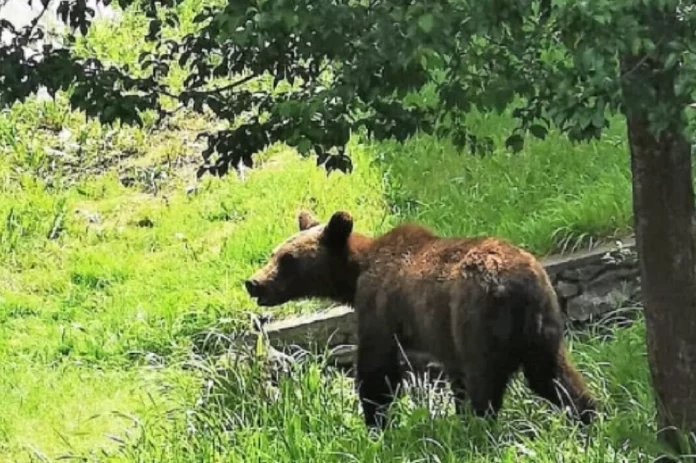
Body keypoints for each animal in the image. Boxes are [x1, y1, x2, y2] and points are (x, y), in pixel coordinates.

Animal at [243, 212, 592, 430]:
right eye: (274, 253)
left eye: (288, 260)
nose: (253, 283)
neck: (354, 276)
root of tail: (516, 286)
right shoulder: (443, 333)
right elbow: (454, 378)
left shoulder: (378, 309)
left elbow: (376, 371)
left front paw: (375, 423)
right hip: (542, 323)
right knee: (554, 376)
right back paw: (588, 416)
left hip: (478, 321)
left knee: (485, 381)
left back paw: (479, 431)